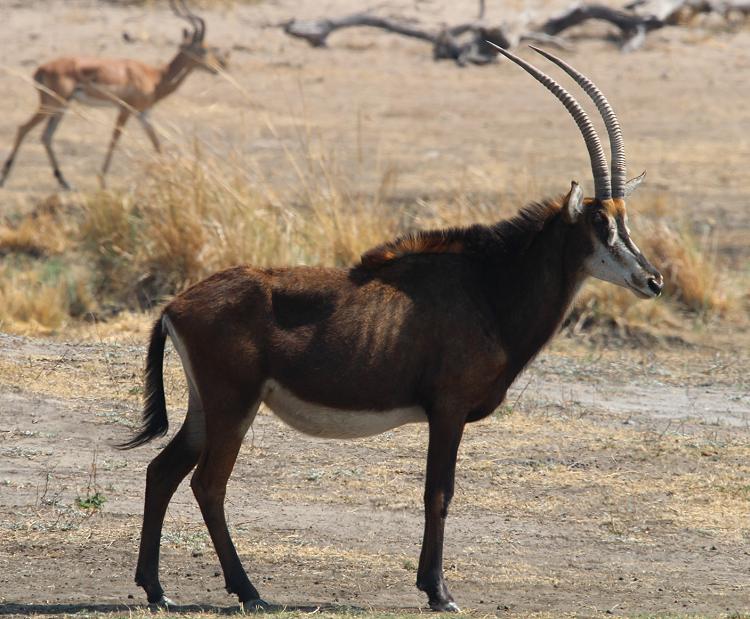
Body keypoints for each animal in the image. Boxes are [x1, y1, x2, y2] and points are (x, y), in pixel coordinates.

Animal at [0, 0, 229, 190]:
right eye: (204, 49)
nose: (217, 68)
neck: (155, 77)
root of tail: (40, 69)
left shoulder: (143, 114)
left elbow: (156, 143)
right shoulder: (125, 110)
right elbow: (114, 139)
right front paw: (102, 179)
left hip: (61, 107)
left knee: (46, 136)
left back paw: (65, 182)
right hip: (52, 104)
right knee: (23, 129)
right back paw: (5, 177)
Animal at [122, 47, 664, 612]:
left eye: (625, 219)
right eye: (600, 224)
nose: (653, 280)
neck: (488, 287)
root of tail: (174, 305)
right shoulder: (447, 411)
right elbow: (439, 493)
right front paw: (439, 592)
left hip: (207, 409)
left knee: (162, 471)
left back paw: (157, 589)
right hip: (234, 406)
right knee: (208, 484)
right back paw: (249, 592)